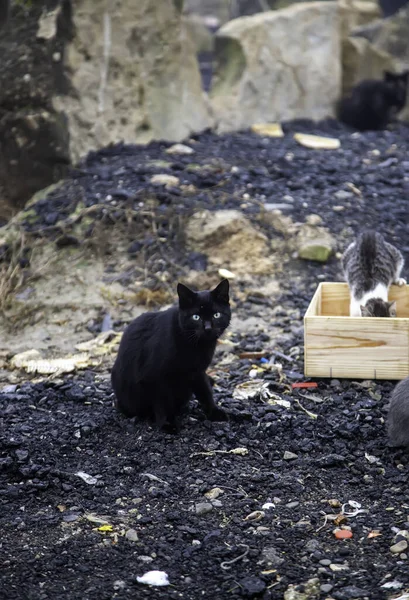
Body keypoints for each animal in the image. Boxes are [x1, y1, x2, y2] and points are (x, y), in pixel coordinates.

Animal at [110, 278, 231, 428]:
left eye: (216, 315)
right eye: (196, 317)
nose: (208, 328)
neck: (195, 346)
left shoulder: (197, 372)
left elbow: (205, 392)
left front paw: (214, 412)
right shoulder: (155, 377)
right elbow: (162, 402)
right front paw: (167, 423)